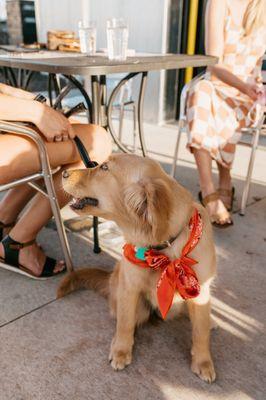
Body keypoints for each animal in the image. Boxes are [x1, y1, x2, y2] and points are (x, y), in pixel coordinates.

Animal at [57, 152, 216, 382]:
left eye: (104, 168)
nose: (64, 173)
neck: (165, 249)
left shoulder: (200, 292)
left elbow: (201, 332)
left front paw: (203, 362)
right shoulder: (129, 288)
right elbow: (124, 323)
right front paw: (121, 351)